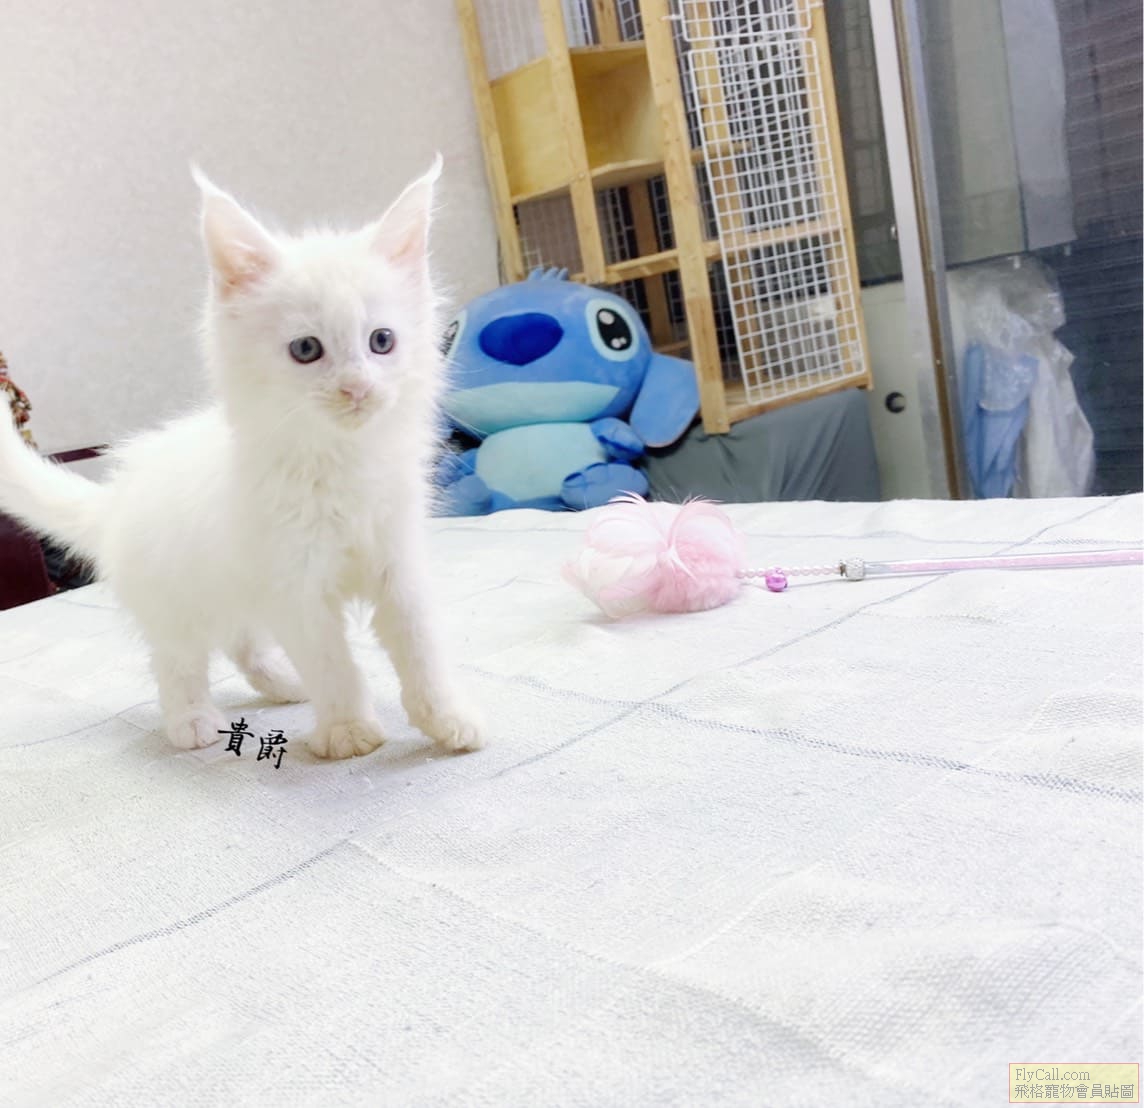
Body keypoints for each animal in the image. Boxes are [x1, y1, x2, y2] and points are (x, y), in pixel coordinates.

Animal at [0, 157, 484, 759]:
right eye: (306, 349)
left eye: (382, 341)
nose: (357, 389)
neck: (337, 462)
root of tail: (116, 496)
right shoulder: (294, 585)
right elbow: (332, 662)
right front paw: (348, 730)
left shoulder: (397, 563)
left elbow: (422, 648)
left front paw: (448, 719)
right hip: (175, 599)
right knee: (177, 660)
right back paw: (191, 720)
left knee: (241, 641)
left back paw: (282, 684)